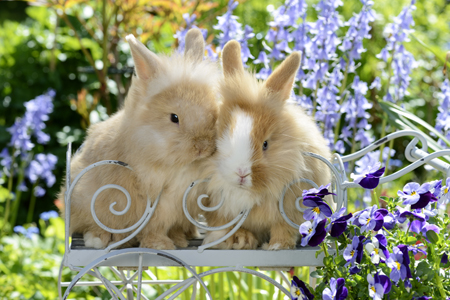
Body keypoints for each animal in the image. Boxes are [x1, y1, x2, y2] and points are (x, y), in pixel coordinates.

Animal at [59, 29, 221, 251]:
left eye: (213, 113)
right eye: (174, 118)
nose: (202, 147)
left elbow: (172, 226)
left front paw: (178, 240)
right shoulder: (152, 206)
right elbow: (152, 230)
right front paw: (162, 246)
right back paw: (99, 239)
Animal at [202, 39, 332, 251]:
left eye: (265, 144)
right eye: (221, 136)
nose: (241, 173)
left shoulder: (289, 209)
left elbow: (283, 228)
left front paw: (276, 246)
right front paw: (239, 240)